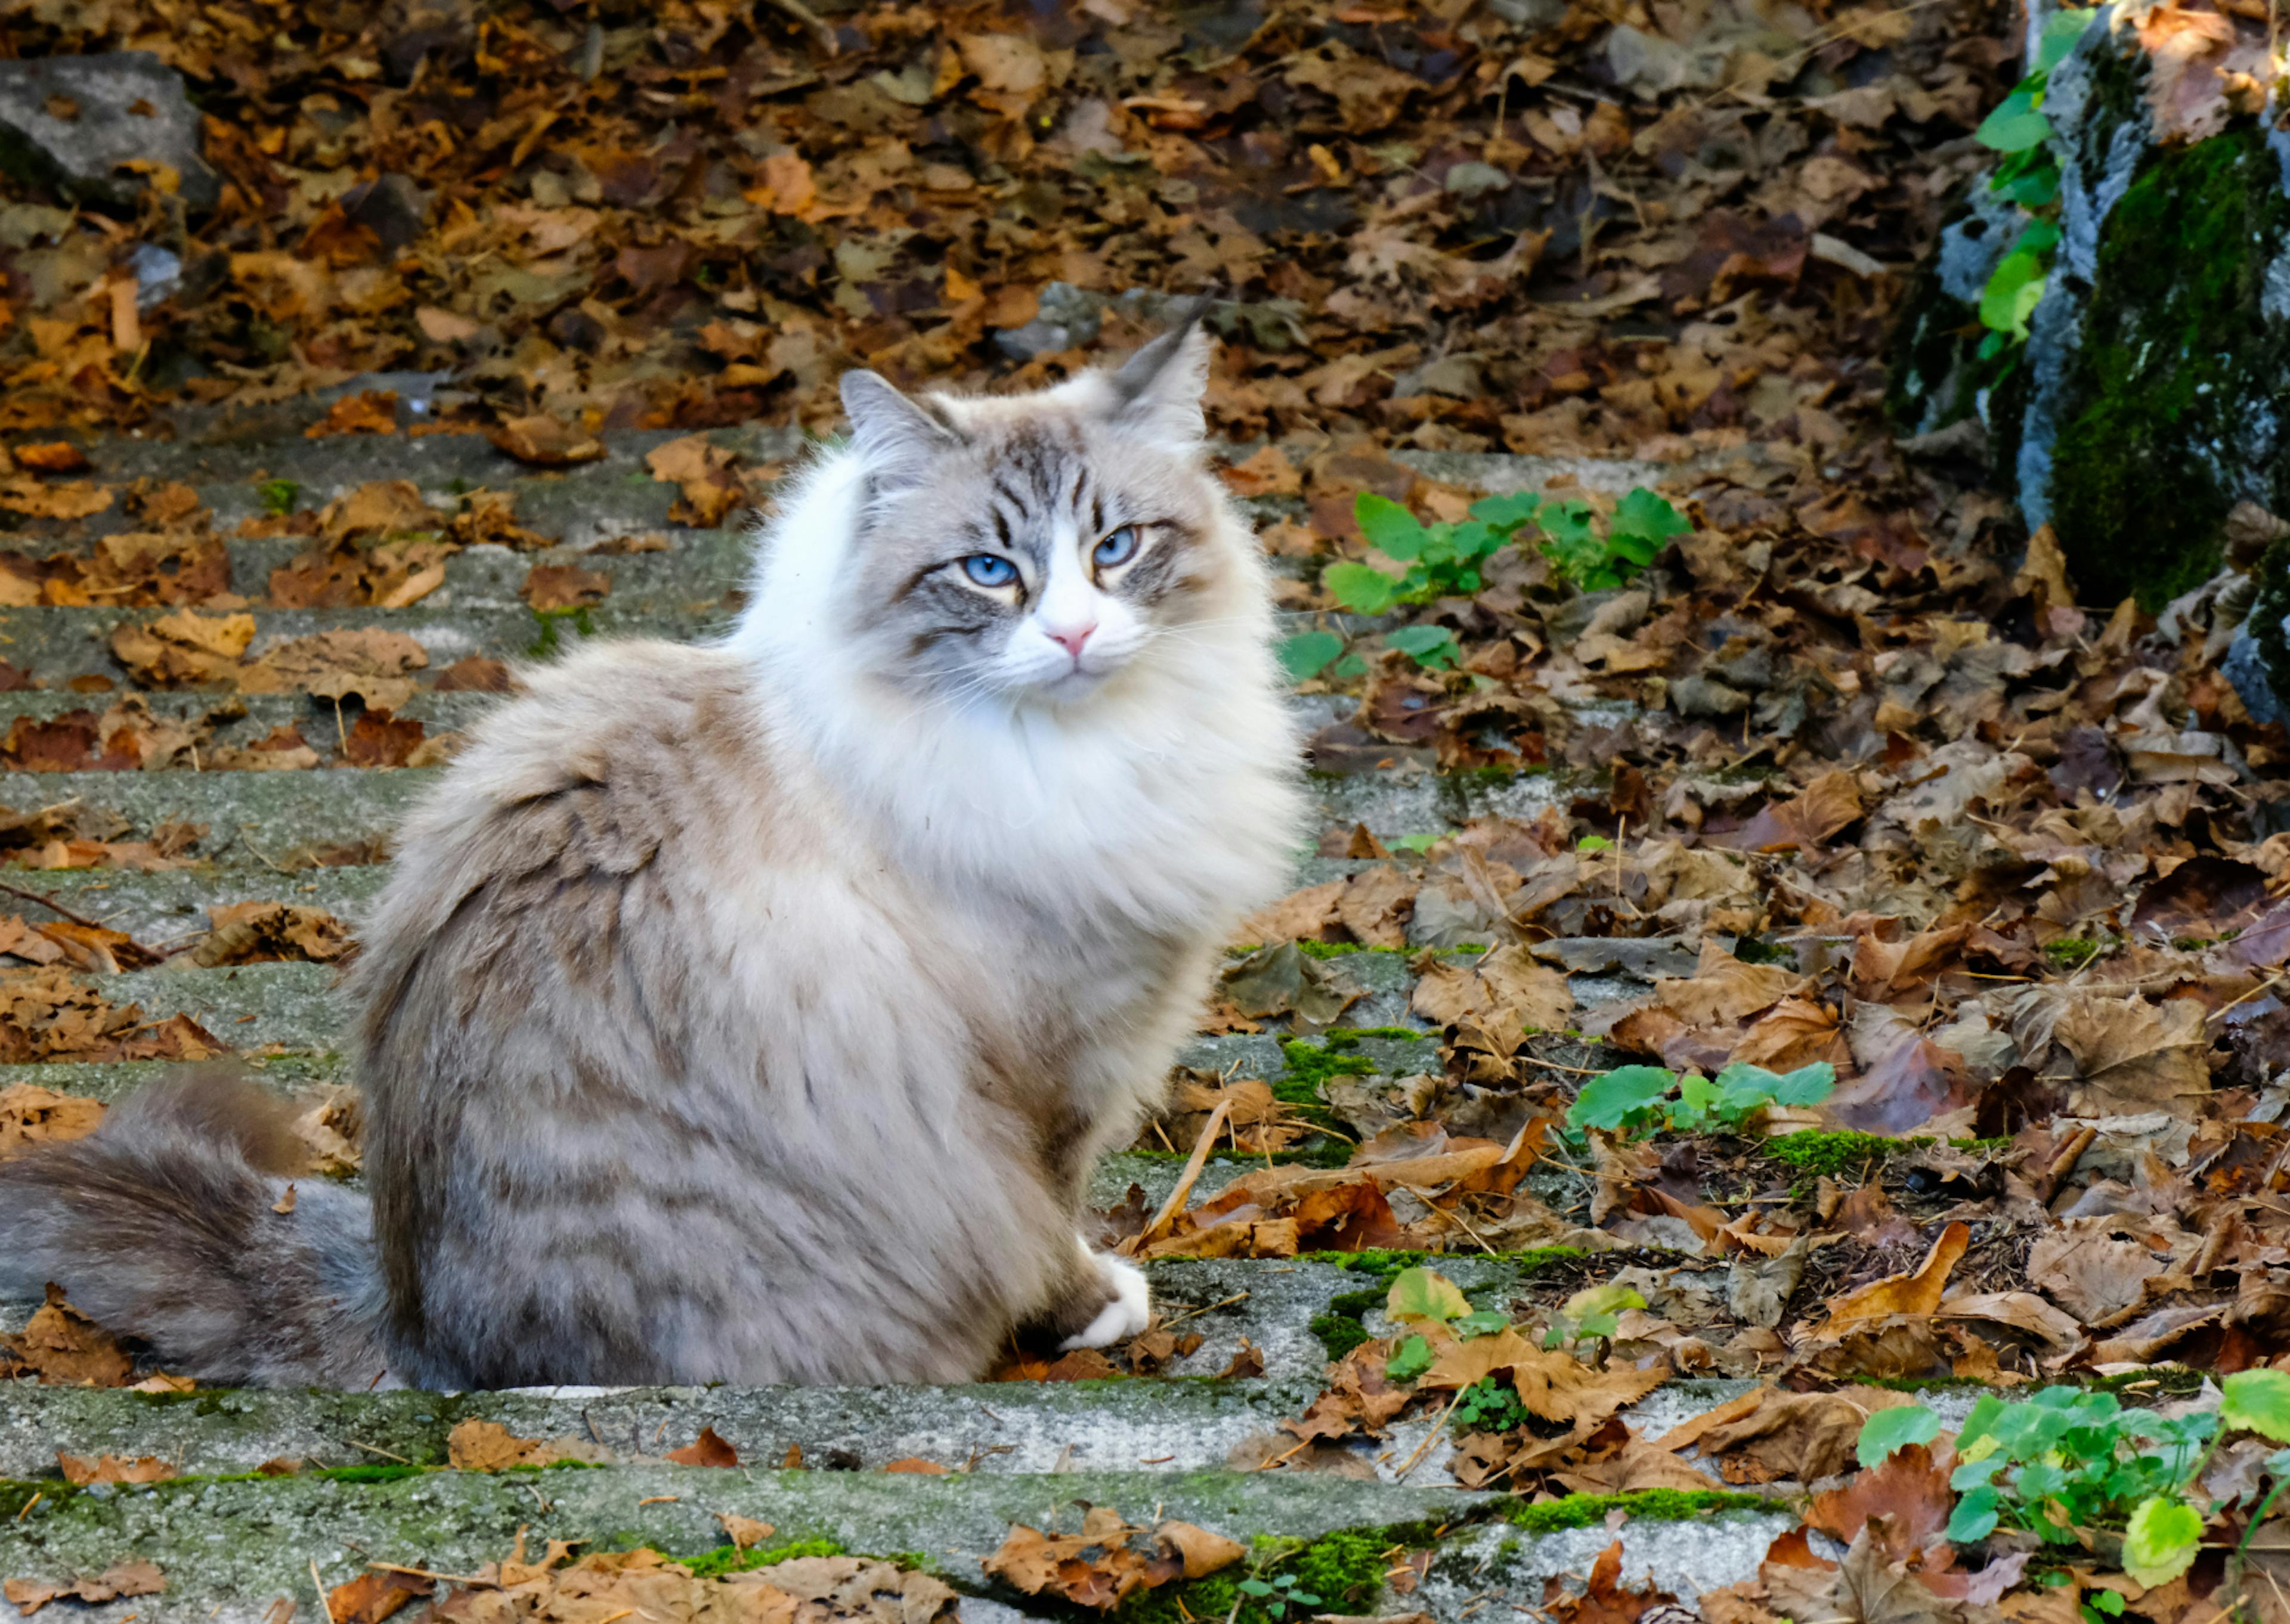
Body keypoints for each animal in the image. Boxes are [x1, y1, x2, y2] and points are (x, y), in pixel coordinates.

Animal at [0, 323, 1310, 1383]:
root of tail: (416, 1322)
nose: (1077, 635)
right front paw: (1093, 1308)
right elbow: (1048, 1214)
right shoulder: (1053, 1062)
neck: (1078, 752)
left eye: (1118, 546)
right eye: (990, 572)